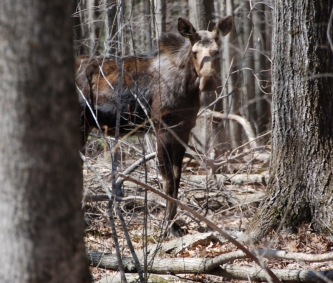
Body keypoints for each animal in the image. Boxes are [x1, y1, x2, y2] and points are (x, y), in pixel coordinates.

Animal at [76, 16, 231, 237]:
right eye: (194, 52)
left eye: (217, 52)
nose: (208, 82)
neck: (188, 88)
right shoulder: (162, 129)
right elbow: (167, 181)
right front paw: (167, 227)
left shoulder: (183, 130)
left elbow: (177, 179)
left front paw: (174, 224)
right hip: (81, 123)